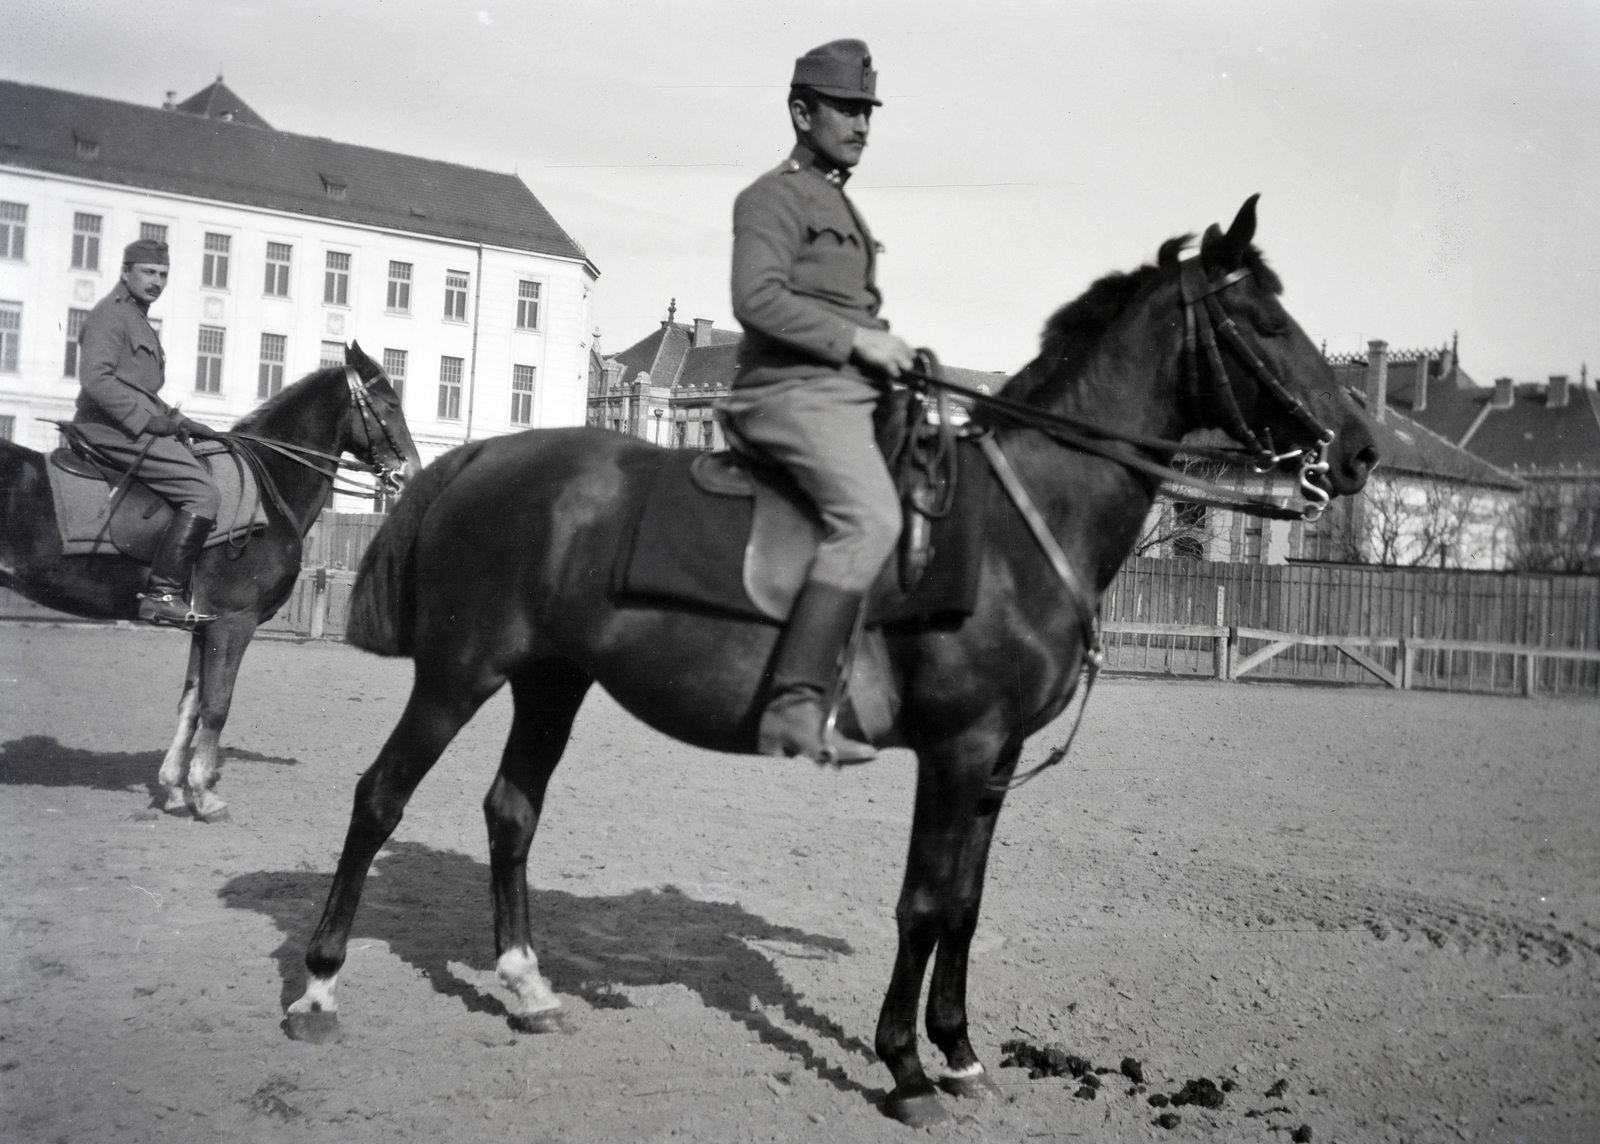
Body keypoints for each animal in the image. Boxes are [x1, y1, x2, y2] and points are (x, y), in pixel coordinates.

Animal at [0, 344, 419, 819]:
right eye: (391, 404)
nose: (411, 471)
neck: (269, 487)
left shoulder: (203, 623)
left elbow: (190, 704)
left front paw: (174, 789)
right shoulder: (232, 621)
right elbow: (217, 705)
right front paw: (203, 792)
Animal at [284, 204, 1376, 1126]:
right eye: (1264, 321)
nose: (1361, 449)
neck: (1016, 523)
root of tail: (486, 456)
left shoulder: (993, 763)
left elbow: (965, 906)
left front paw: (960, 1052)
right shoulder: (957, 752)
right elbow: (924, 904)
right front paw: (905, 1067)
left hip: (549, 680)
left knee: (511, 811)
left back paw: (524, 986)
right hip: (459, 673)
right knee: (380, 797)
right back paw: (318, 986)